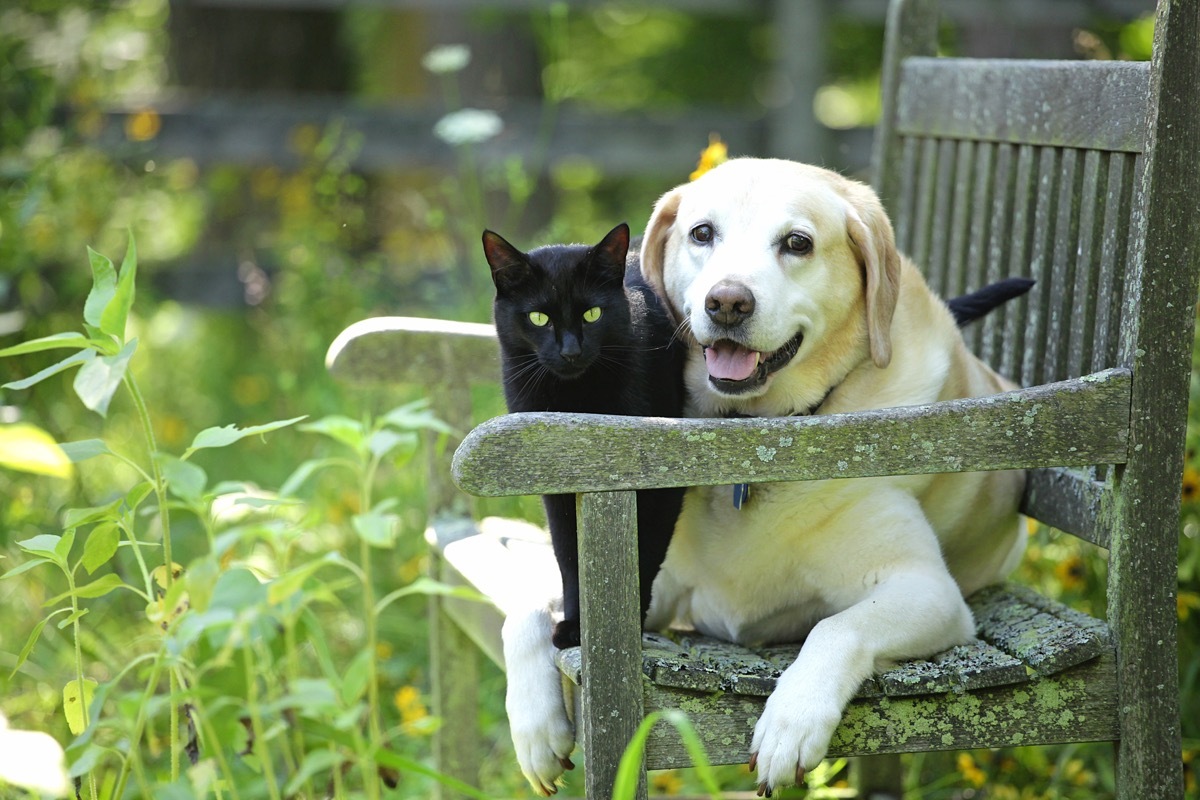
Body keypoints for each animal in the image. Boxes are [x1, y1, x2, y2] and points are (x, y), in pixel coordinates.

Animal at [480, 220, 686, 652]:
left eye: (592, 314)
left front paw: (622, 627)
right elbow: (569, 557)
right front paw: (576, 626)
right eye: (539, 318)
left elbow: (642, 552)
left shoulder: (660, 481)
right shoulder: (556, 485)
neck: (577, 400)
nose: (571, 351)